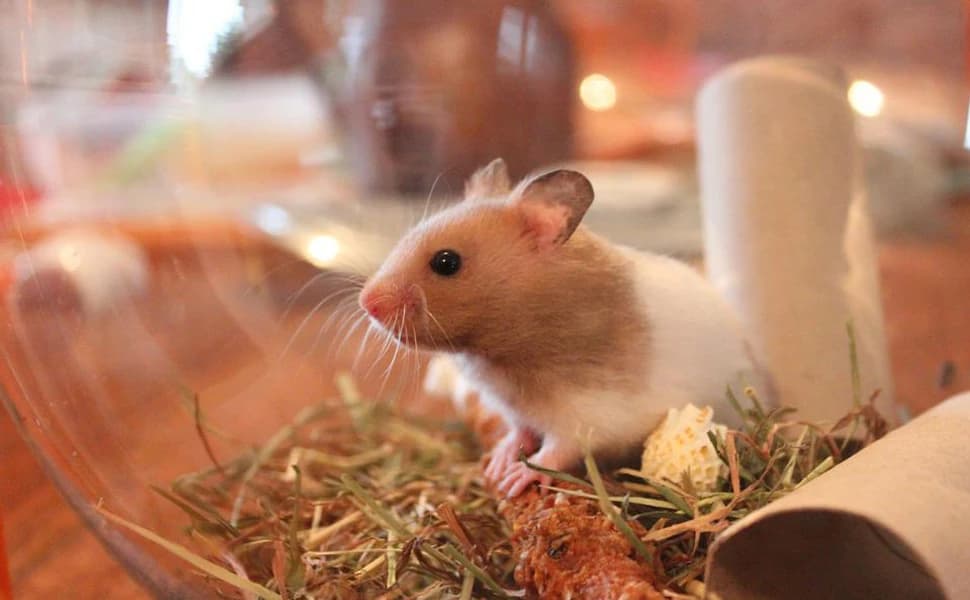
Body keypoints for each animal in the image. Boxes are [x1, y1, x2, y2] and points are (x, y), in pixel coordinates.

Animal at [359, 158, 757, 497]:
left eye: (446, 262)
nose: (366, 303)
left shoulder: (589, 418)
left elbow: (556, 451)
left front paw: (513, 479)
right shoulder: (514, 410)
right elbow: (519, 432)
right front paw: (496, 464)